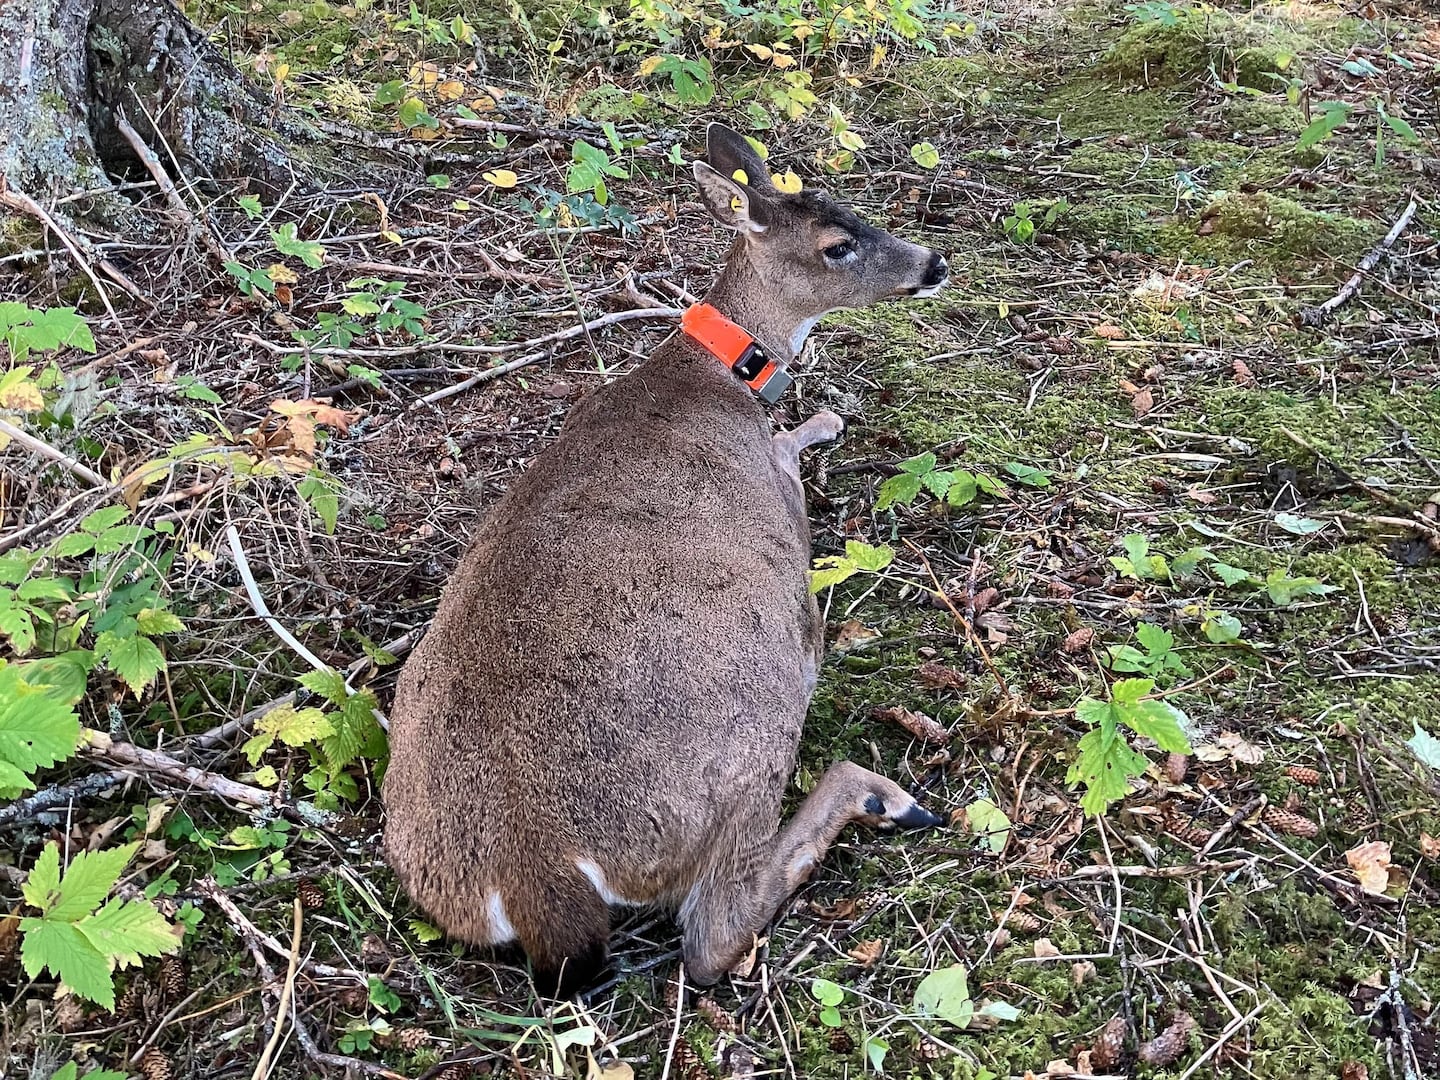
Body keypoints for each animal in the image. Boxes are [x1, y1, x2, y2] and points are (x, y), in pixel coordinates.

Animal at [382, 122, 950, 996]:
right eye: (838, 244)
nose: (934, 262)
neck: (723, 378)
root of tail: (538, 872)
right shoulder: (782, 511)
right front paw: (825, 420)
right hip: (743, 745)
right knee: (714, 933)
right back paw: (886, 796)